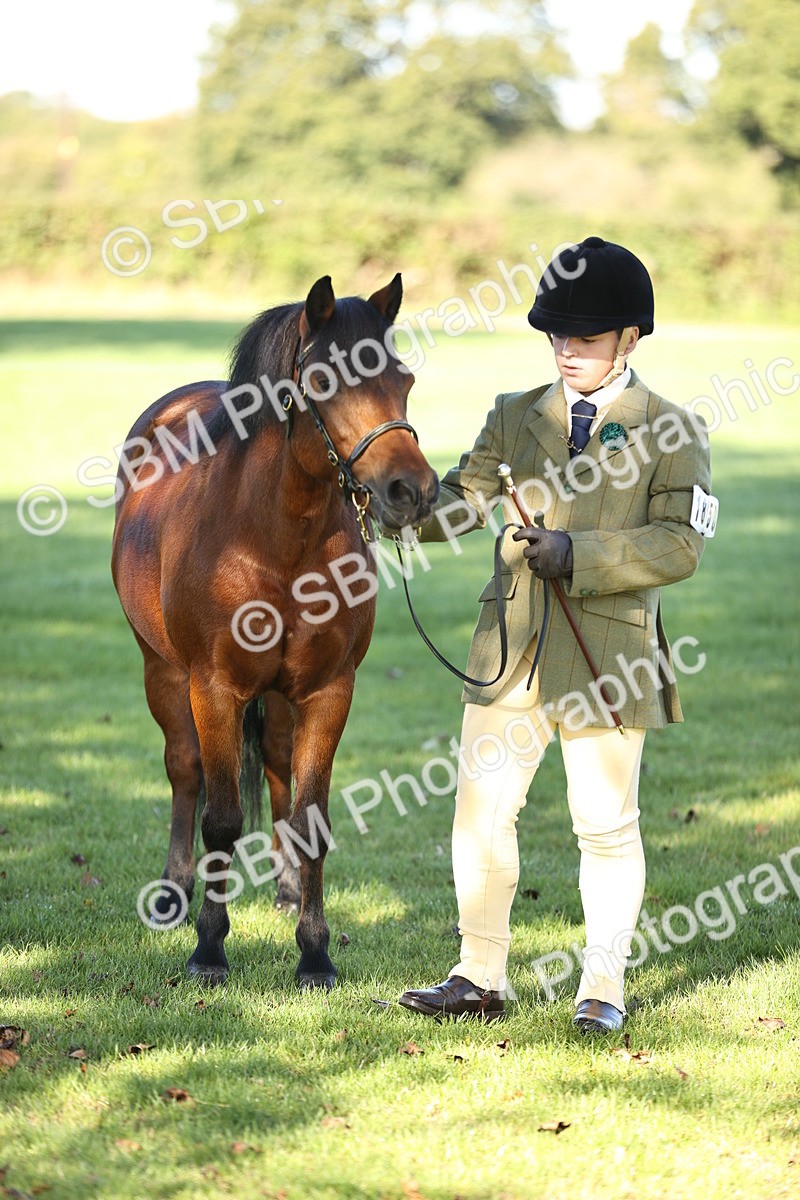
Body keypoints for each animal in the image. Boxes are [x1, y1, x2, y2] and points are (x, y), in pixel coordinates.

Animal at [111, 273, 439, 988]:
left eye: (403, 379)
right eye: (323, 380)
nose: (411, 490)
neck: (276, 538)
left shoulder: (328, 689)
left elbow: (310, 815)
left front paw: (313, 952)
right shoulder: (215, 689)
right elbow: (221, 819)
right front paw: (209, 949)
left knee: (281, 767)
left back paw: (288, 887)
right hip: (161, 671)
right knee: (184, 770)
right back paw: (175, 891)